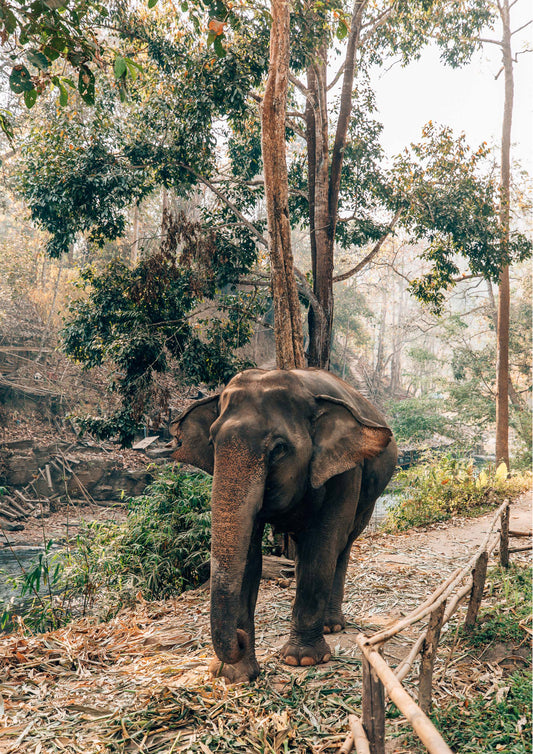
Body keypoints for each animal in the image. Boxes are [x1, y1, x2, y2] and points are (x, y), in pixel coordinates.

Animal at [167, 368, 397, 683]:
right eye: (212, 443)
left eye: (278, 449)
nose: (239, 638)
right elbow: (249, 559)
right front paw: (235, 675)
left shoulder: (346, 471)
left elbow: (323, 546)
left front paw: (301, 659)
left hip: (369, 494)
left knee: (342, 545)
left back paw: (332, 626)